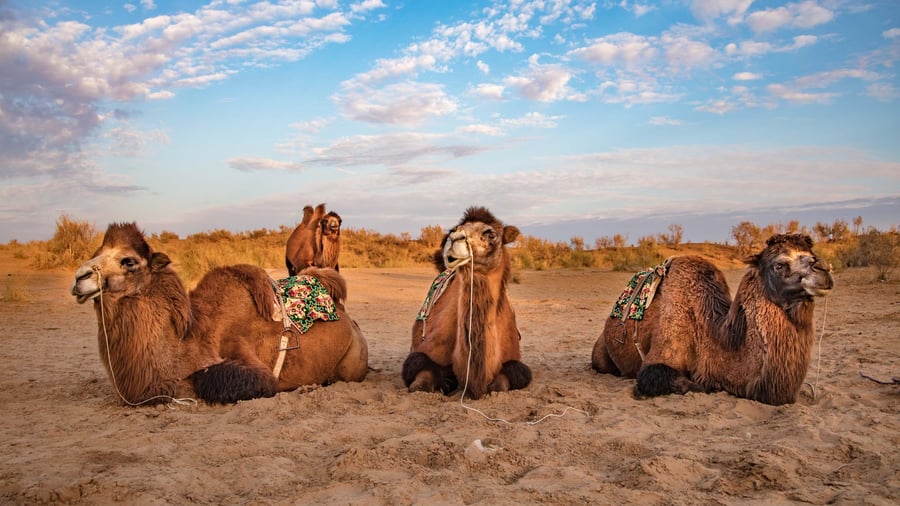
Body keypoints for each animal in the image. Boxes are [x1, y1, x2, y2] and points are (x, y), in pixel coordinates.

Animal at [71, 222, 368, 405]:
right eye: (96, 252)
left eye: (128, 261)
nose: (79, 278)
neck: (187, 339)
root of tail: (351, 322)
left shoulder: (249, 362)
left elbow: (215, 379)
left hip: (352, 363)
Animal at [401, 206, 531, 399]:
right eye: (455, 229)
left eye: (491, 234)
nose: (455, 238)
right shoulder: (422, 355)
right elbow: (419, 384)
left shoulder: (514, 363)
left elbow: (499, 386)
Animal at [591, 234, 834, 405]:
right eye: (779, 264)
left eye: (810, 252)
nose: (824, 268)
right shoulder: (659, 357)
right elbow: (692, 384)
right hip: (601, 356)